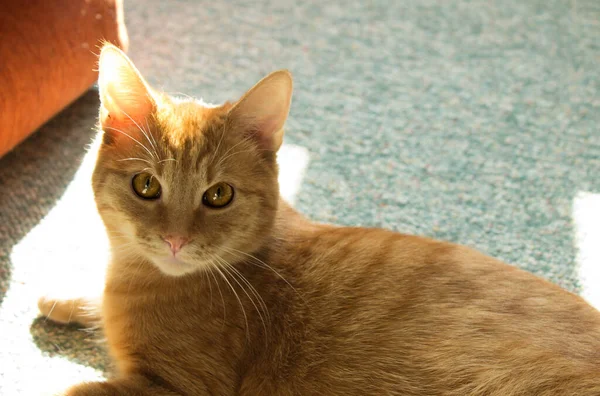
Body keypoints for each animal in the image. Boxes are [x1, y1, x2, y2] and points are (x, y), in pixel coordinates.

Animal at [39, 44, 600, 394]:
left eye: (218, 195)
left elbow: (72, 391)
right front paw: (65, 297)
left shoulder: (174, 386)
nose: (174, 240)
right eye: (147, 186)